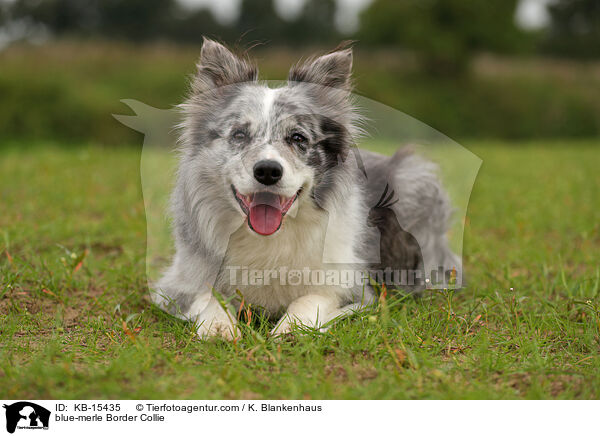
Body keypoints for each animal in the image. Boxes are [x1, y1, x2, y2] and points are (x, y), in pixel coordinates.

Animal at [151, 37, 460, 338]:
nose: (267, 171)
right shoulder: (176, 283)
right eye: (239, 135)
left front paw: (292, 327)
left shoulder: (352, 287)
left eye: (297, 138)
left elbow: (312, 298)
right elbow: (208, 295)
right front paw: (218, 326)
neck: (270, 238)